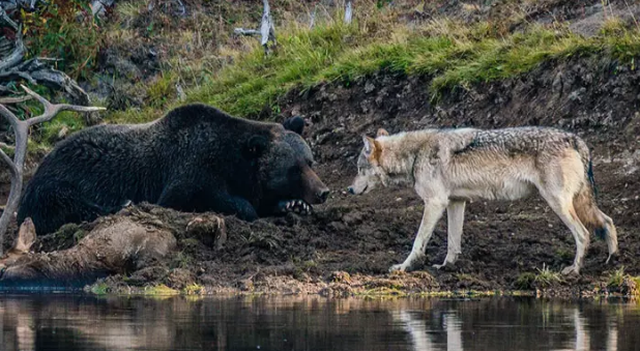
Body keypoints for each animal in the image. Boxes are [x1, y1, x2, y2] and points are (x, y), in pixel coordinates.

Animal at [16, 104, 330, 236]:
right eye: (293, 168)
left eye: (309, 161)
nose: (323, 192)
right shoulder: (188, 170)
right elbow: (197, 196)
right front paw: (248, 207)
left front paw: (293, 204)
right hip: (57, 181)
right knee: (68, 203)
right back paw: (122, 204)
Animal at [348, 126, 616, 276]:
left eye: (360, 169)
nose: (349, 189)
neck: (415, 155)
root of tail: (576, 139)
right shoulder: (455, 202)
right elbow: (453, 243)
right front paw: (447, 267)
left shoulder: (434, 203)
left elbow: (418, 242)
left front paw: (403, 267)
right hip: (577, 203)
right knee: (608, 221)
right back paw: (612, 262)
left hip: (557, 203)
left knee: (584, 234)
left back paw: (574, 270)